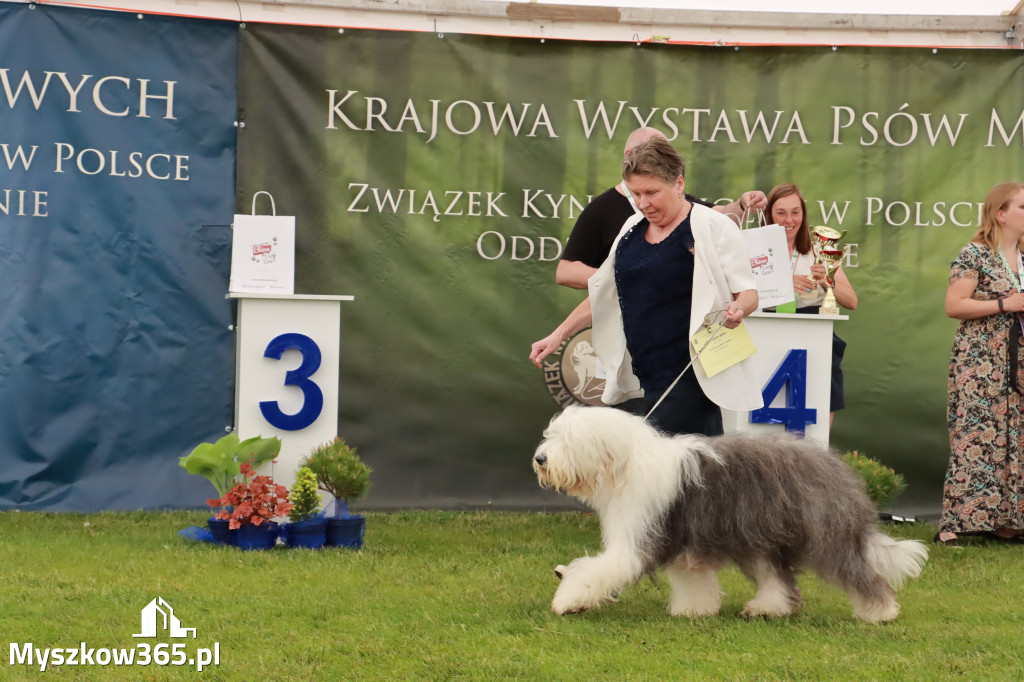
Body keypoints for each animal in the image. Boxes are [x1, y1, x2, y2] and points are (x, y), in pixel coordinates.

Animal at [536, 403, 929, 622]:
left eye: (567, 440)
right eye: (550, 435)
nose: (540, 459)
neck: (625, 466)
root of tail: (838, 468)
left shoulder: (639, 537)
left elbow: (599, 569)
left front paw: (567, 600)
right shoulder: (685, 542)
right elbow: (691, 576)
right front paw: (694, 609)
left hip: (823, 534)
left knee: (856, 571)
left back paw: (880, 612)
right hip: (761, 537)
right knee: (778, 578)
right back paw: (768, 608)